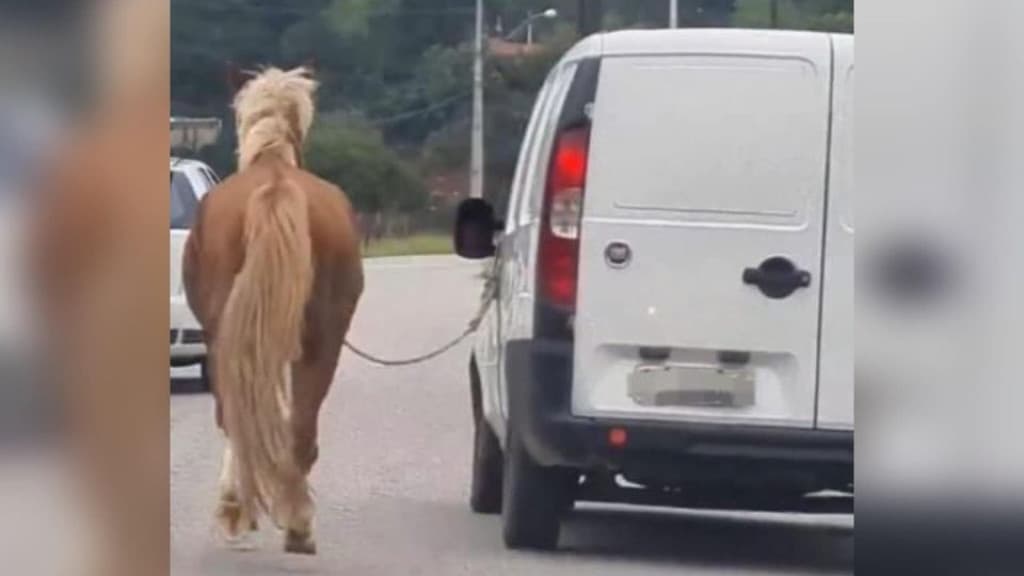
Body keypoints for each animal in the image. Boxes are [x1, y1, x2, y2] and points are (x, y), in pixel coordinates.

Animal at [182, 65, 364, 554]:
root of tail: (276, 185)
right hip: (321, 338)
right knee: (299, 426)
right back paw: (294, 520)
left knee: (246, 418)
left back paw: (257, 513)